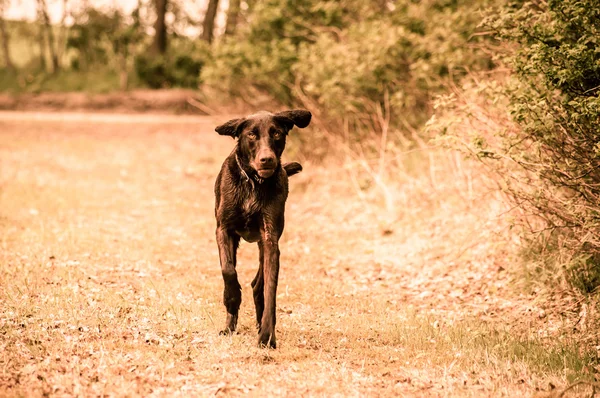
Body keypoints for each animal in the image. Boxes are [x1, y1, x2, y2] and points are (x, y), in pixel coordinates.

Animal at [213, 109, 312, 348]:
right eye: (251, 135)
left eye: (276, 133)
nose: (267, 159)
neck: (253, 182)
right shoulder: (223, 230)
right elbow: (228, 270)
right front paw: (232, 300)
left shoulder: (270, 239)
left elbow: (270, 290)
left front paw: (267, 335)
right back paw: (229, 326)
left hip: (262, 244)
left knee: (258, 284)